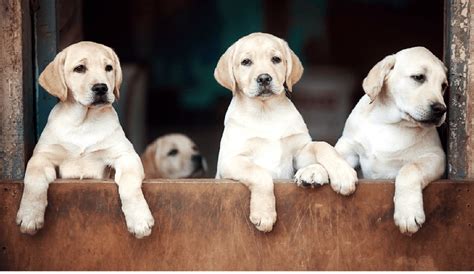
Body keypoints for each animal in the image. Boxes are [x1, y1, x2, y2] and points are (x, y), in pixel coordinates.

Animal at [15, 40, 154, 238]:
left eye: (109, 68)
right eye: (79, 68)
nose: (101, 88)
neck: (84, 122)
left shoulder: (126, 155)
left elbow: (129, 183)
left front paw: (139, 219)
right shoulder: (42, 156)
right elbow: (33, 179)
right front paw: (30, 215)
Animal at [214, 32, 356, 233]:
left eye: (276, 59)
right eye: (246, 62)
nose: (264, 78)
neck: (266, 112)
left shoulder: (298, 152)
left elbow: (322, 145)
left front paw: (343, 173)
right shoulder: (230, 161)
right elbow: (260, 173)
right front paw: (264, 214)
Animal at [334, 46, 448, 234]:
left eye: (443, 86)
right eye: (418, 77)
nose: (441, 109)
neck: (388, 122)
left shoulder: (435, 156)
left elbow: (410, 169)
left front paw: (408, 213)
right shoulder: (350, 146)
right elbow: (332, 153)